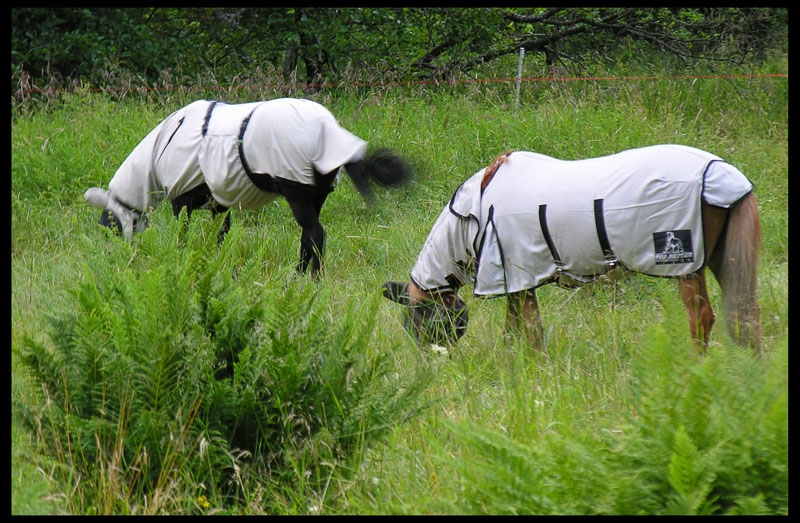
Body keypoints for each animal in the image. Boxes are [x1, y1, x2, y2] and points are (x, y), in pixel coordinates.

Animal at [83, 98, 410, 278]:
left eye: (109, 225)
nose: (113, 258)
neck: (156, 154)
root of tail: (329, 130)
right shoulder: (220, 202)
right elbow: (221, 234)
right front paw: (218, 262)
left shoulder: (182, 201)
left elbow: (183, 234)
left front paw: (181, 258)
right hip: (315, 195)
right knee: (309, 235)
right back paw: (298, 274)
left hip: (296, 190)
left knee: (315, 234)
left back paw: (313, 278)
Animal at [382, 145, 764, 354]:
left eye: (420, 325)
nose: (434, 362)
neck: (477, 209)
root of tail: (721, 174)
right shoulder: (513, 283)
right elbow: (512, 332)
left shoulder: (519, 278)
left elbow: (531, 332)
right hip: (723, 260)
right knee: (744, 319)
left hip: (687, 266)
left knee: (701, 319)